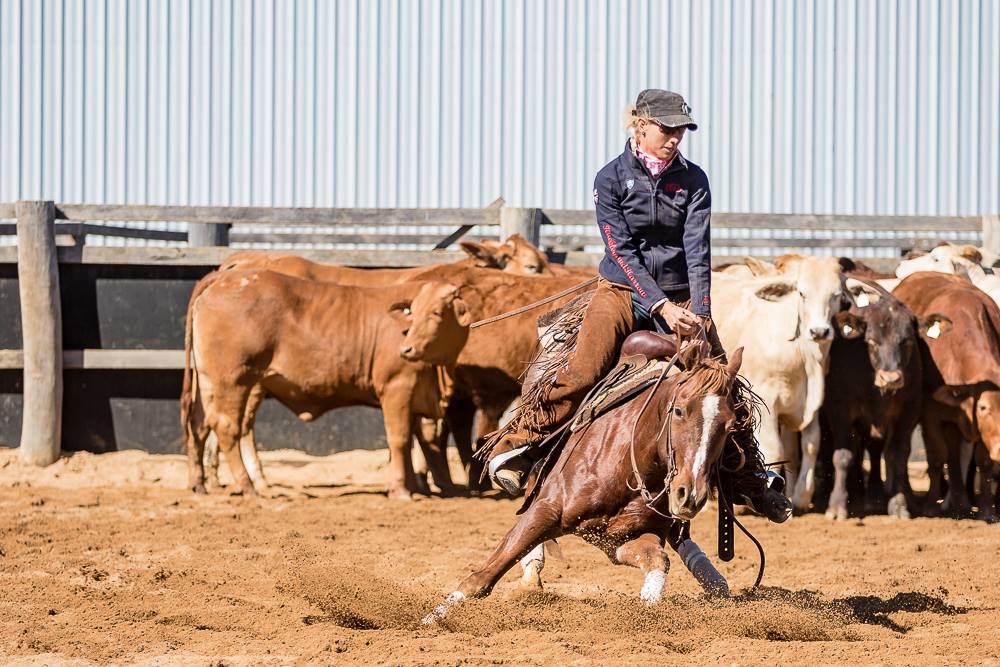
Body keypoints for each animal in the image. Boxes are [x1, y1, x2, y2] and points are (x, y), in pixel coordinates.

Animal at [183, 268, 472, 498]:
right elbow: (399, 439)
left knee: (199, 425)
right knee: (227, 426)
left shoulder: (412, 395)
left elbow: (411, 439)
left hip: (208, 381)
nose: (407, 349)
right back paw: (248, 486)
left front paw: (411, 486)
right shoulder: (396, 388)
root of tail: (223, 277)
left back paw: (199, 484)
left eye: (437, 312)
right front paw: (401, 490)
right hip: (233, 380)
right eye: (414, 313)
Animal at [426, 344, 748, 620]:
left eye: (731, 425)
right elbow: (485, 575)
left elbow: (658, 560)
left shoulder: (618, 539)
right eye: (679, 410)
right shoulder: (547, 510)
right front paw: (431, 619)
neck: (630, 462)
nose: (689, 494)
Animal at [716, 256, 848, 512]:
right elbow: (774, 449)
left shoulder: (809, 403)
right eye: (802, 293)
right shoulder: (766, 400)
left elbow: (809, 445)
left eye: (836, 295)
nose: (819, 331)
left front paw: (801, 497)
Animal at [896, 272, 1000, 520]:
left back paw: (961, 502)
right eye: (983, 408)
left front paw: (986, 510)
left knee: (954, 454)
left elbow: (983, 461)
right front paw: (931, 506)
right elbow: (936, 456)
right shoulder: (930, 413)